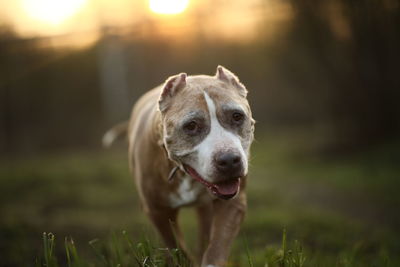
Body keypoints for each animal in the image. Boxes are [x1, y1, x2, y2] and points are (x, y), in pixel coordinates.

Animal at [103, 66, 253, 266]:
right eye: (191, 126)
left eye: (237, 116)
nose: (229, 160)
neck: (184, 173)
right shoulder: (157, 210)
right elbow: (174, 245)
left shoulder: (233, 204)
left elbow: (217, 245)